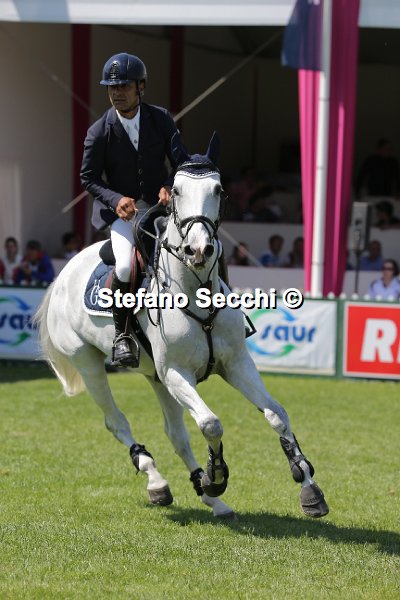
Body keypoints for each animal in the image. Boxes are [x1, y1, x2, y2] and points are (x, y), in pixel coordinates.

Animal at [34, 133, 328, 519]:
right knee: (117, 421)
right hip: (90, 363)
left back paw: (210, 498)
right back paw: (158, 480)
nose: (199, 250)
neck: (196, 292)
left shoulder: (235, 364)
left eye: (218, 189)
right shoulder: (177, 372)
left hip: (155, 376)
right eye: (175, 190)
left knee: (176, 434)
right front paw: (217, 475)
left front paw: (308, 487)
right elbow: (210, 423)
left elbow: (276, 415)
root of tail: (62, 275)